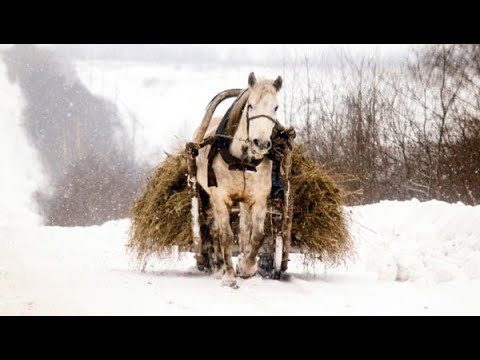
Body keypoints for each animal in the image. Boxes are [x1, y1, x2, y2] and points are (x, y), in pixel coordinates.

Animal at [194, 72, 284, 286]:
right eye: (250, 105)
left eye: (276, 107)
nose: (261, 143)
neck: (241, 160)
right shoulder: (220, 198)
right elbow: (226, 236)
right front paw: (228, 275)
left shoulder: (258, 199)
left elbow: (256, 235)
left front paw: (246, 267)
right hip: (208, 197)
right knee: (215, 230)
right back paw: (218, 266)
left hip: (243, 201)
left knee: (244, 230)